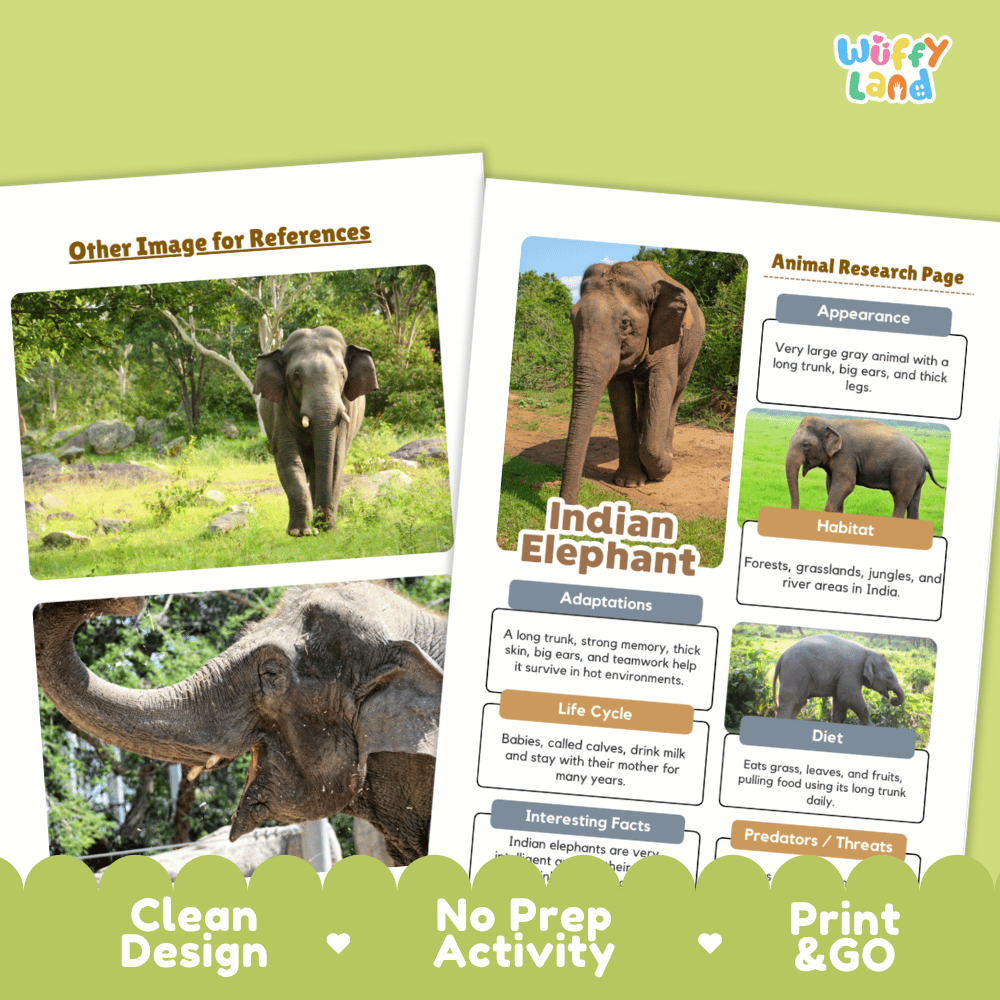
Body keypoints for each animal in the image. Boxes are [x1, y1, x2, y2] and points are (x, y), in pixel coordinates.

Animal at [253, 326, 378, 536]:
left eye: (342, 374)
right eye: (296, 376)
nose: (321, 523)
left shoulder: (346, 409)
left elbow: (336, 458)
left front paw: (326, 528)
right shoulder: (280, 411)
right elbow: (288, 459)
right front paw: (300, 532)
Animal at [560, 260, 705, 505]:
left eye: (625, 324)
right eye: (571, 317)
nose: (570, 504)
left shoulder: (668, 335)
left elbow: (663, 384)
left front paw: (661, 471)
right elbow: (621, 397)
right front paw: (629, 482)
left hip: (693, 349)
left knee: (676, 392)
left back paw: (668, 454)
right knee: (644, 392)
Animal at [772, 633, 905, 726]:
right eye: (890, 676)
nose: (893, 700)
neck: (869, 651)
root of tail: (782, 656)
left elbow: (840, 701)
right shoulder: (852, 670)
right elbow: (847, 696)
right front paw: (872, 726)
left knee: (797, 703)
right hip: (795, 672)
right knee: (790, 702)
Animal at [785, 416, 944, 519]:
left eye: (805, 444)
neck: (830, 423)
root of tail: (924, 455)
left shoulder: (846, 455)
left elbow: (846, 485)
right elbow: (831, 486)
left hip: (907, 471)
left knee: (900, 500)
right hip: (917, 477)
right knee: (913, 504)